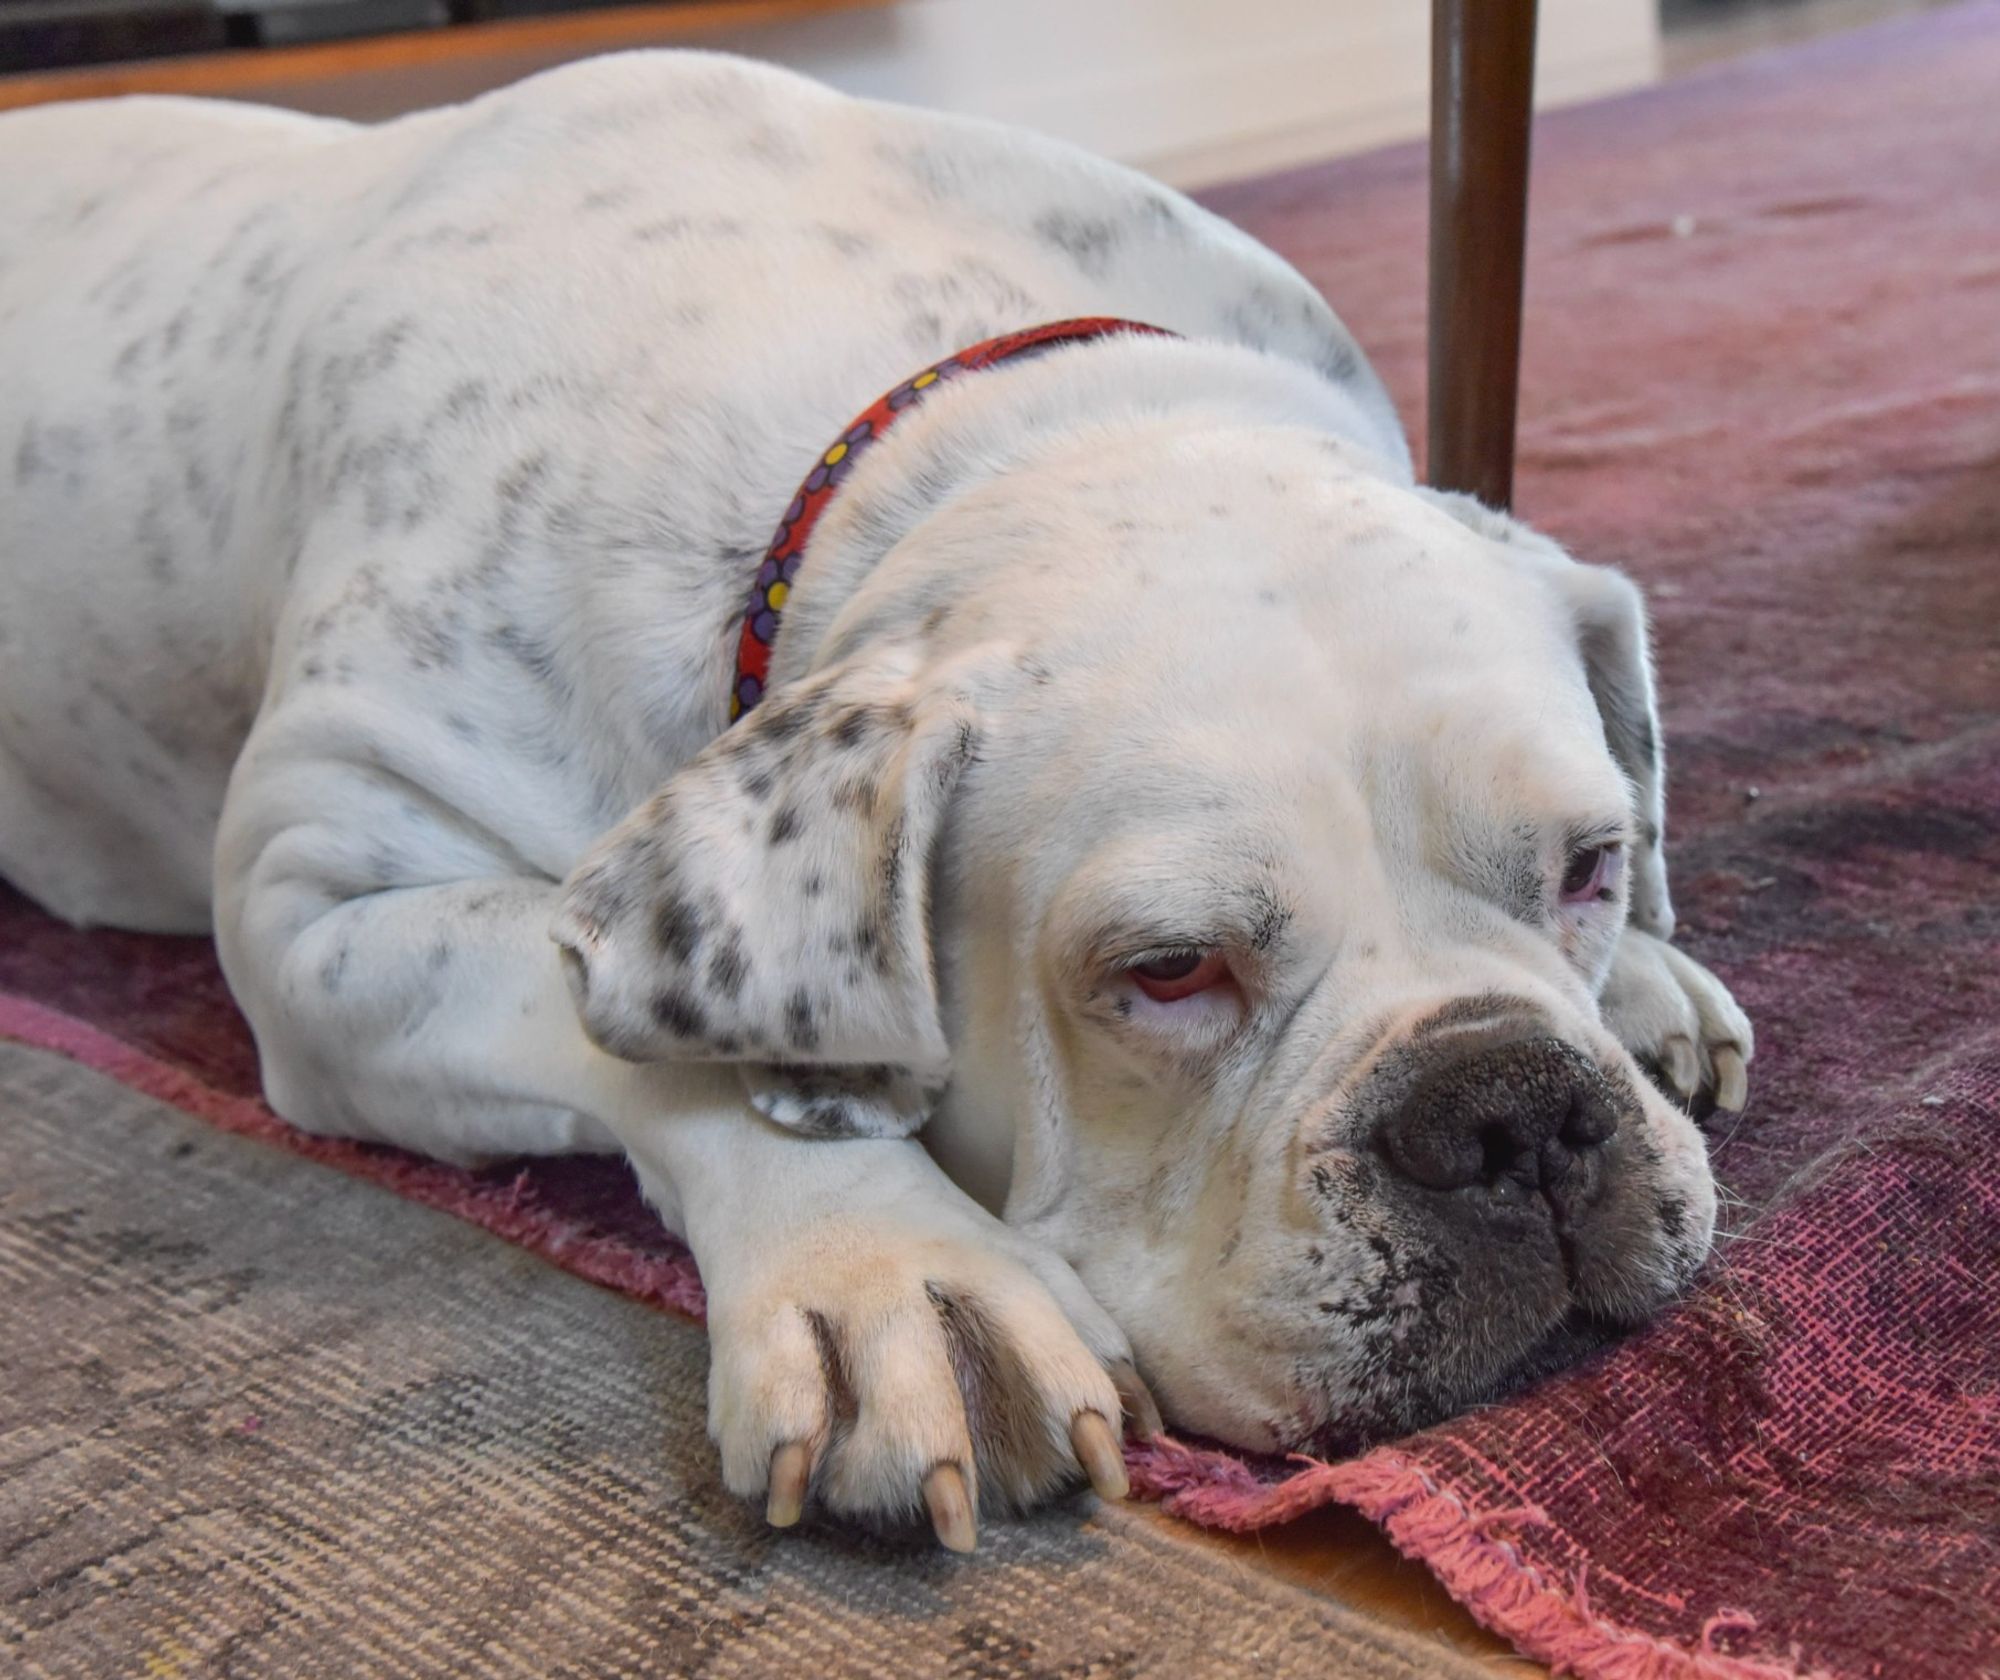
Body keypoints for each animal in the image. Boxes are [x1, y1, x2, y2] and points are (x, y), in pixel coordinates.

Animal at [0, 52, 1752, 1552]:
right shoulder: (316, 902)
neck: (953, 429)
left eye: (1587, 866)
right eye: (1166, 973)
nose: (1508, 1107)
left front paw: (1649, 977)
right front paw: (898, 1272)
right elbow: (597, 1002)